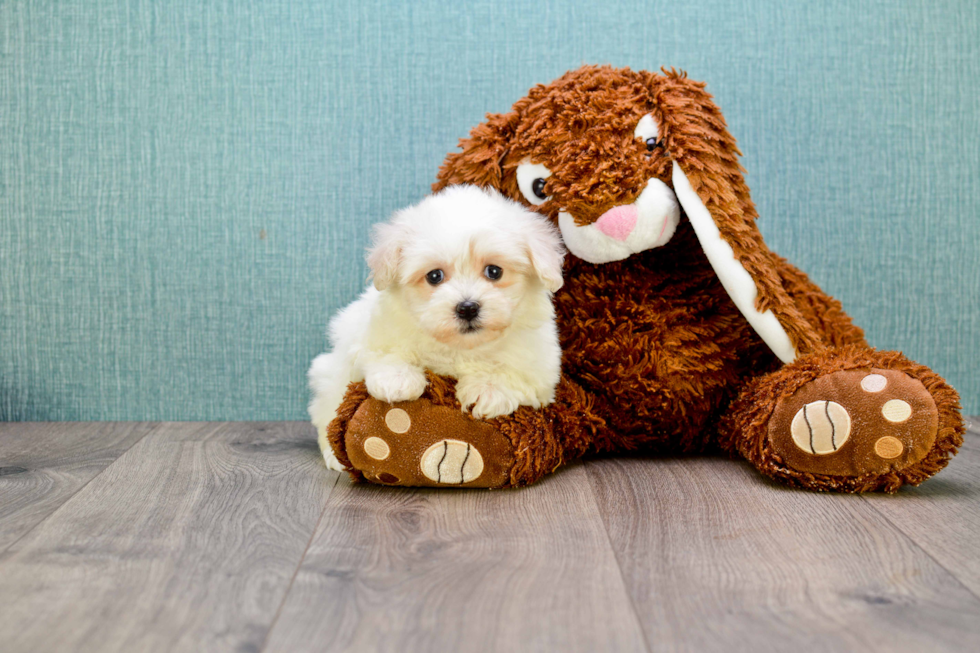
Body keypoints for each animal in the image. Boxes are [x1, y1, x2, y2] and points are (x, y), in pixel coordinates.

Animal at [310, 183, 564, 468]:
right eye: (434, 276)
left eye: (494, 271)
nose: (467, 307)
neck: (461, 347)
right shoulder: (372, 334)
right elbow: (383, 353)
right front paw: (397, 380)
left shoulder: (541, 368)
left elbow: (516, 374)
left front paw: (489, 390)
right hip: (330, 376)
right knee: (326, 415)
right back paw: (335, 457)